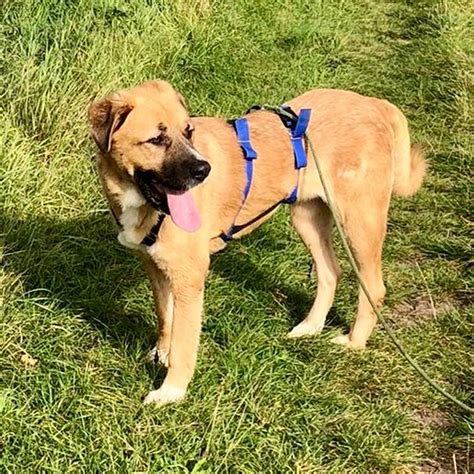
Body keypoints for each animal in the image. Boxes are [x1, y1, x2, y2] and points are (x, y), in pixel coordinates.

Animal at [88, 79, 426, 406]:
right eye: (156, 139)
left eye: (188, 131)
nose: (204, 170)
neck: (143, 203)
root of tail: (373, 104)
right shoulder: (156, 268)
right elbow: (165, 318)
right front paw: (161, 354)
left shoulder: (189, 279)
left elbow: (185, 343)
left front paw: (171, 391)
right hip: (308, 220)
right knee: (330, 271)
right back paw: (310, 327)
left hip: (358, 222)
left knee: (373, 287)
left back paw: (354, 342)